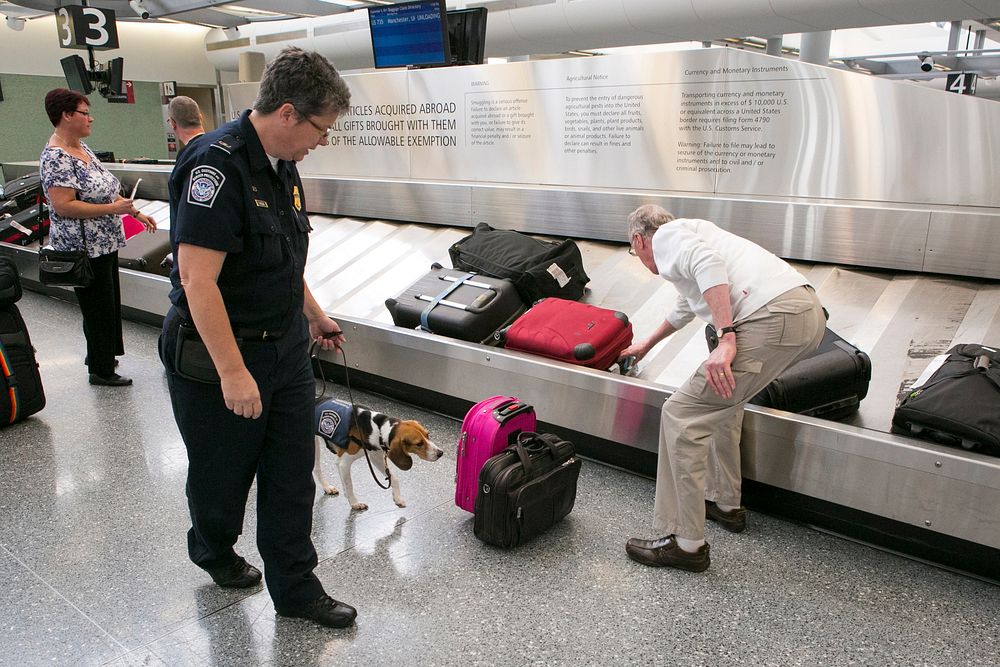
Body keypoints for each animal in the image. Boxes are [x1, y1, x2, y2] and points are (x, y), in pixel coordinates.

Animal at [308, 396, 442, 512]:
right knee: (317, 469)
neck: (378, 429)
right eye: (419, 444)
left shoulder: (375, 457)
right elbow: (349, 485)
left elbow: (394, 478)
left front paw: (397, 498)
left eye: (428, 435)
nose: (440, 453)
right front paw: (354, 503)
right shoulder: (344, 463)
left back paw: (327, 488)